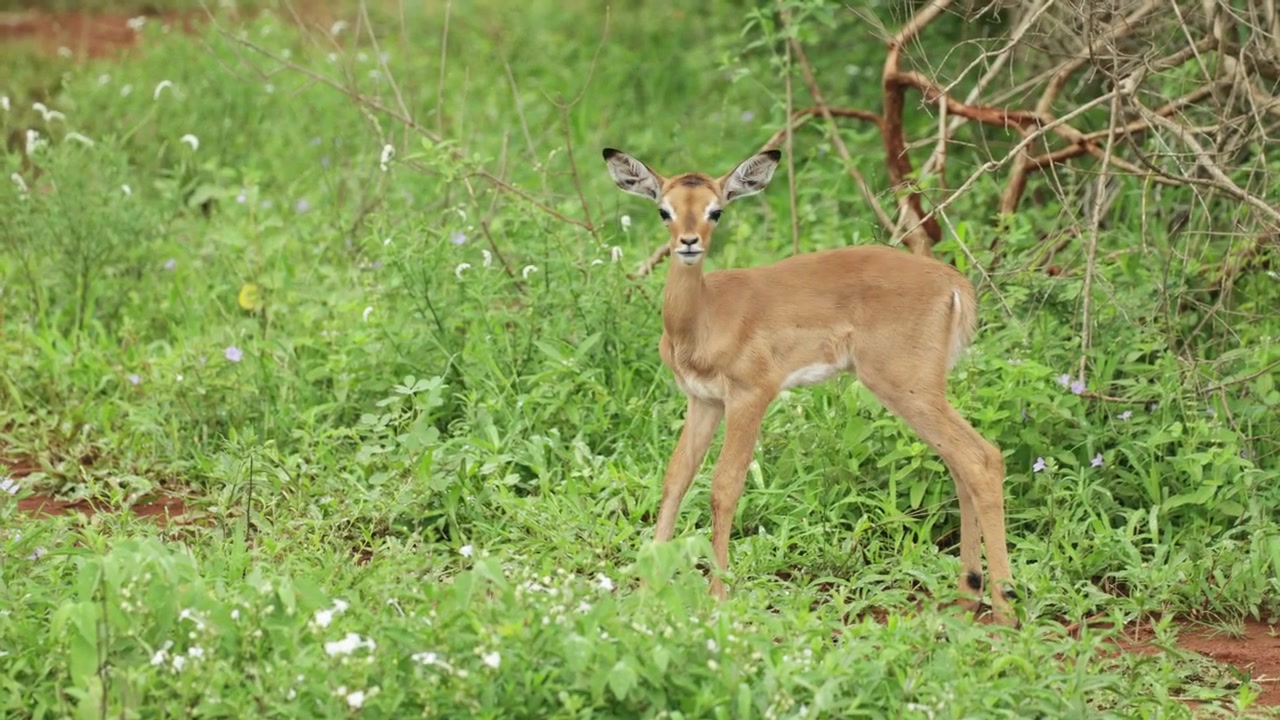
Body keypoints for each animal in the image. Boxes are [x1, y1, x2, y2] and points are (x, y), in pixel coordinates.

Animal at [602, 146, 1015, 625]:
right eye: (664, 210)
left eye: (715, 210)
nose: (688, 242)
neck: (703, 317)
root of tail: (955, 284)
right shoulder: (702, 402)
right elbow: (675, 480)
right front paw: (646, 591)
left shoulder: (750, 397)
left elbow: (724, 487)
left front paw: (718, 595)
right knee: (960, 464)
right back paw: (968, 595)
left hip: (907, 388)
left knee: (981, 459)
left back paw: (1005, 611)